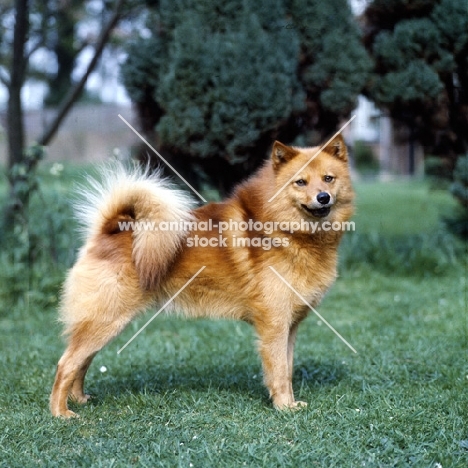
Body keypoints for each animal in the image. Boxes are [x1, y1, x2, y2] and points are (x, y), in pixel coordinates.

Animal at [51, 135, 352, 416]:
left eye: (328, 179)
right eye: (300, 182)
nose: (323, 197)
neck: (287, 230)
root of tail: (107, 230)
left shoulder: (289, 327)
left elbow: (287, 368)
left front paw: (289, 404)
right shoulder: (275, 325)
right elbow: (278, 371)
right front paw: (284, 407)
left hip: (102, 322)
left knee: (82, 361)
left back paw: (79, 399)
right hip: (107, 318)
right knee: (66, 363)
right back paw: (60, 412)